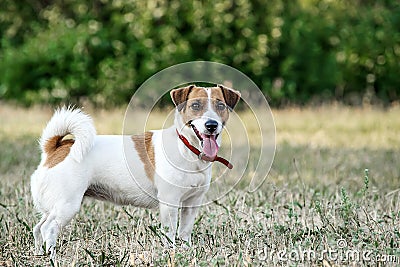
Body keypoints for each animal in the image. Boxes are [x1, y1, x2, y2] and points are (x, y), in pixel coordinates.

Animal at [31, 84, 241, 260]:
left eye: (220, 105)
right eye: (196, 105)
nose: (211, 125)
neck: (187, 148)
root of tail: (55, 147)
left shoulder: (192, 203)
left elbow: (184, 231)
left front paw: (185, 251)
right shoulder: (170, 202)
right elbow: (170, 232)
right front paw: (170, 252)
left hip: (56, 206)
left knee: (38, 228)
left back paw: (39, 254)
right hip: (67, 205)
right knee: (49, 228)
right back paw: (53, 257)